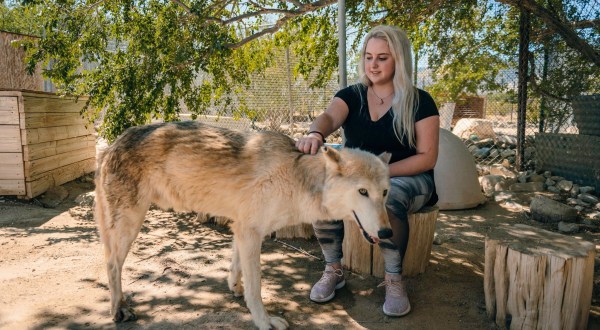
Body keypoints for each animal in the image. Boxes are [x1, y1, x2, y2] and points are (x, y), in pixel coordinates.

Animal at [94, 121, 394, 330]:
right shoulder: (251, 232)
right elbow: (257, 287)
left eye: (385, 193)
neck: (296, 177)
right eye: (363, 192)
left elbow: (236, 266)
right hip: (131, 224)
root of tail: (111, 145)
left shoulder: (242, 228)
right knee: (111, 264)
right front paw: (264, 321)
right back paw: (118, 310)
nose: (387, 232)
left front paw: (234, 288)